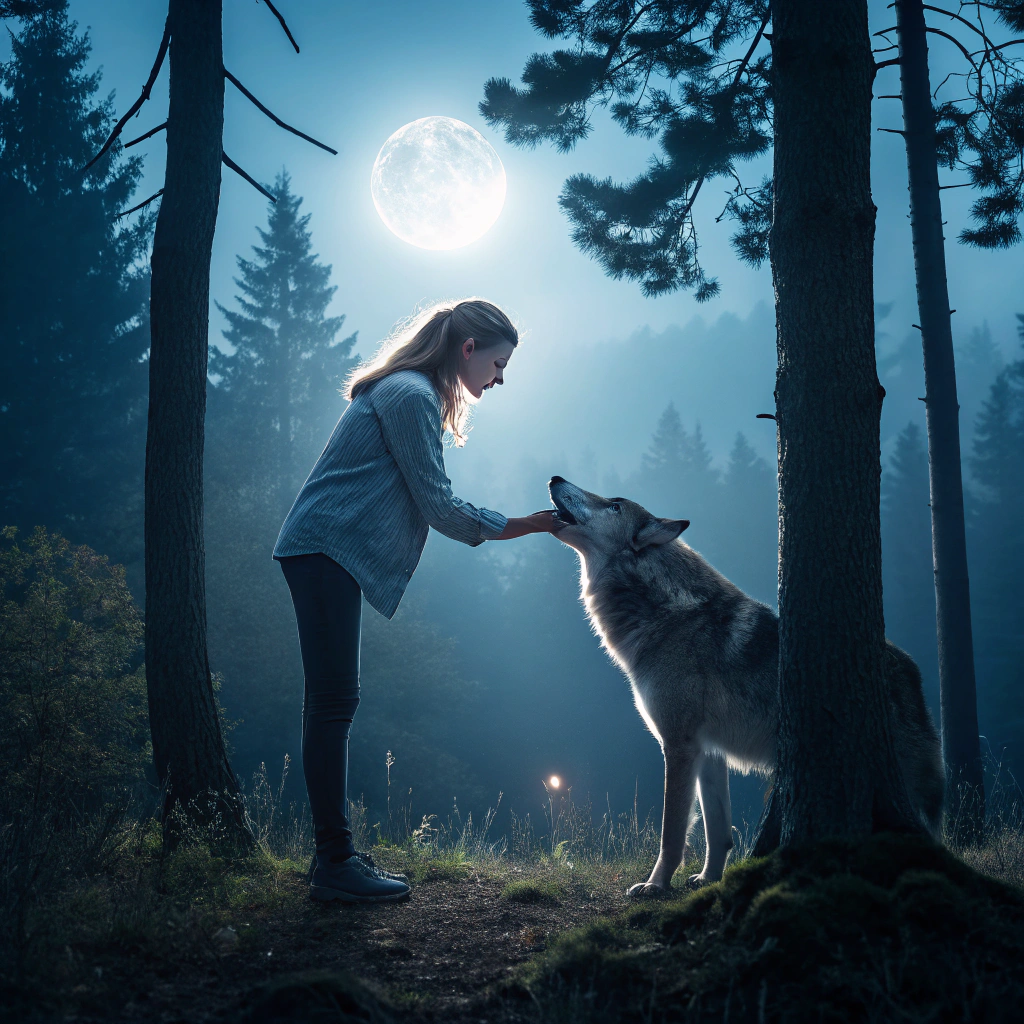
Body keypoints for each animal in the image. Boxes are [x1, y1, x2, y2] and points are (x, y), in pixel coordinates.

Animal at [547, 476, 944, 899]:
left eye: (615, 505)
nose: (556, 478)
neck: (663, 614)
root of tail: (913, 673)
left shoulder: (679, 745)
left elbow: (673, 834)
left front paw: (655, 886)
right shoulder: (708, 750)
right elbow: (718, 831)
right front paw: (709, 880)